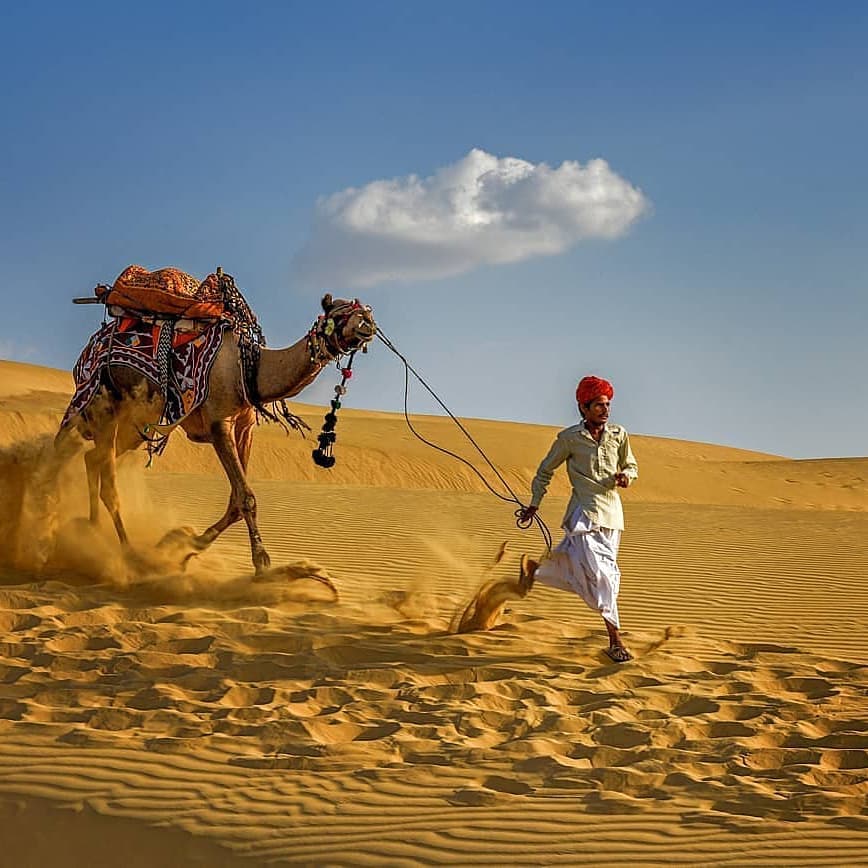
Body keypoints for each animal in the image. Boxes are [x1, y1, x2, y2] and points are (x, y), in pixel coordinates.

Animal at [51, 292, 376, 576]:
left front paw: (186, 544)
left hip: (135, 420)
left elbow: (236, 500)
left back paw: (93, 531)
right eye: (339, 312)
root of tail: (89, 348)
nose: (368, 324)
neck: (249, 368)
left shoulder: (245, 427)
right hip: (102, 399)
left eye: (365, 310)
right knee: (99, 468)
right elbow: (246, 496)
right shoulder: (219, 423)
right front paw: (262, 564)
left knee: (94, 459)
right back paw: (125, 551)